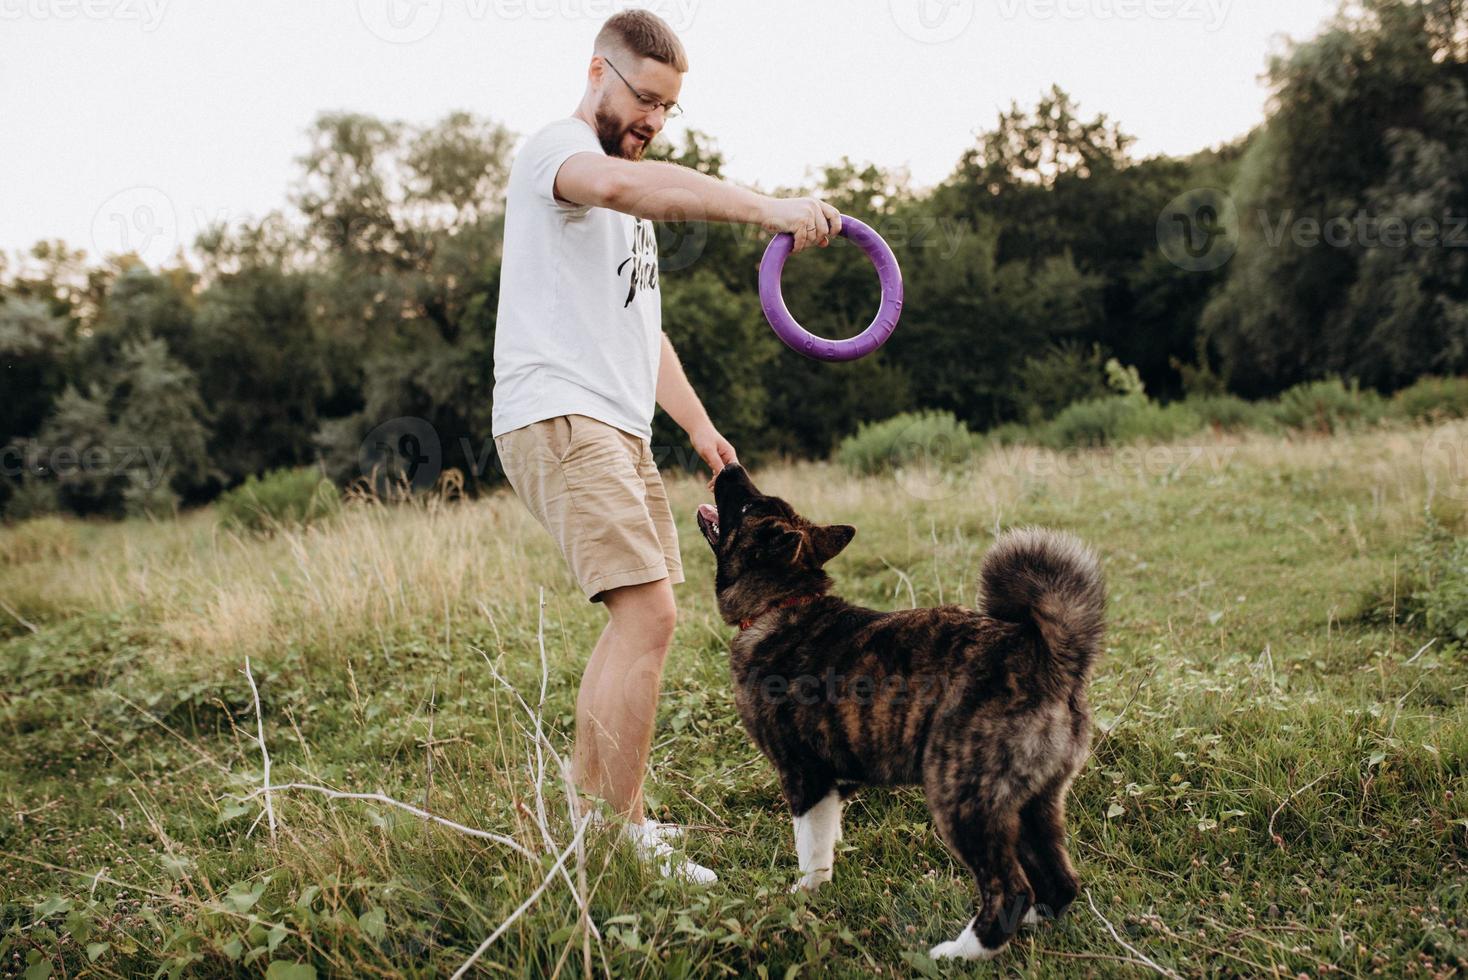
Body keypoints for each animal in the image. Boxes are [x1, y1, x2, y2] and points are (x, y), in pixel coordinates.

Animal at [695, 463, 1103, 962]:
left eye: (748, 505)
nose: (730, 466)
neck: (782, 605)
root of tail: (1048, 655)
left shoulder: (803, 775)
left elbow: (810, 849)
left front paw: (803, 897)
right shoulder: (832, 781)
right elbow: (827, 835)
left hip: (961, 798)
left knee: (1010, 888)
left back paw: (959, 953)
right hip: (1032, 803)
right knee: (1059, 883)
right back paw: (1023, 927)